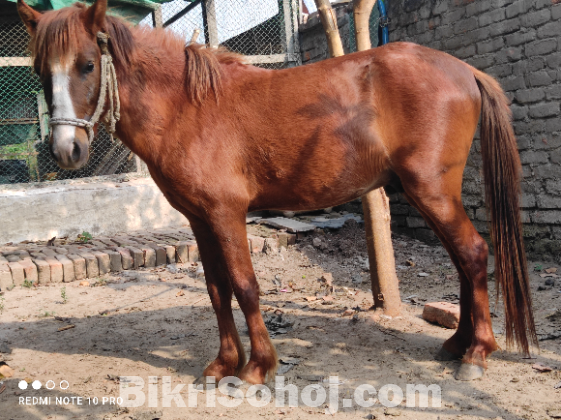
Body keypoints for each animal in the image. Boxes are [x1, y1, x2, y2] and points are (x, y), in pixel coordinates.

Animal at [17, 0, 532, 384]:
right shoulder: (199, 219)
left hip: (432, 191)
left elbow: (245, 286)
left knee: (473, 253)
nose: (66, 150)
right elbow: (216, 288)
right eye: (41, 72)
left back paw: (476, 354)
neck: (188, 107)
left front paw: (257, 367)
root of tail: (464, 70)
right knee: (464, 261)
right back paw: (457, 344)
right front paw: (223, 363)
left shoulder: (226, 214)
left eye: (87, 65)